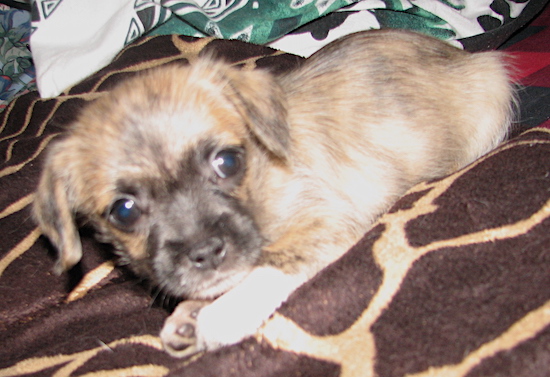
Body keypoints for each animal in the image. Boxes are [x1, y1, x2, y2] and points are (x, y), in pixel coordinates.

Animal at [33, 29, 516, 356]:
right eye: (124, 211)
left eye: (227, 162)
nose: (205, 252)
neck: (264, 175)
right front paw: (189, 313)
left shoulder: (325, 219)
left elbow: (271, 263)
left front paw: (221, 313)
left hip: (491, 95)